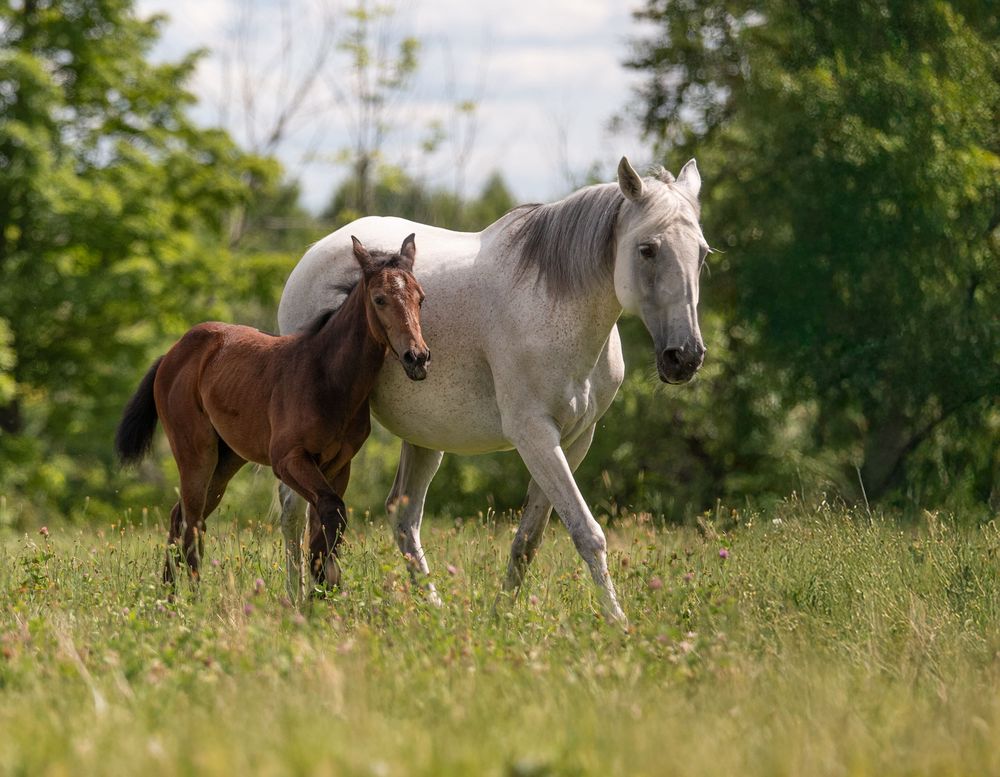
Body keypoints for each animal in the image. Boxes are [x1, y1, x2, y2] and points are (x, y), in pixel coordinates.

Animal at [115, 235, 430, 590]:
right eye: (379, 299)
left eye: (420, 299)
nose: (417, 357)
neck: (326, 376)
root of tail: (172, 353)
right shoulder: (287, 459)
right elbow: (331, 513)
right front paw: (321, 590)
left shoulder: (338, 465)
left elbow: (325, 525)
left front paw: (325, 593)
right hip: (195, 452)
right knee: (192, 523)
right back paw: (191, 598)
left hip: (226, 460)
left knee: (178, 516)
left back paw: (167, 596)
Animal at [277, 157, 708, 623]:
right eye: (647, 249)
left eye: (702, 253)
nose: (685, 357)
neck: (556, 303)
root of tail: (311, 256)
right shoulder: (534, 435)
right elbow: (588, 533)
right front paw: (619, 624)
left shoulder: (574, 440)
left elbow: (529, 540)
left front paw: (502, 614)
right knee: (293, 508)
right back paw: (295, 599)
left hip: (426, 436)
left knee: (402, 516)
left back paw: (432, 608)